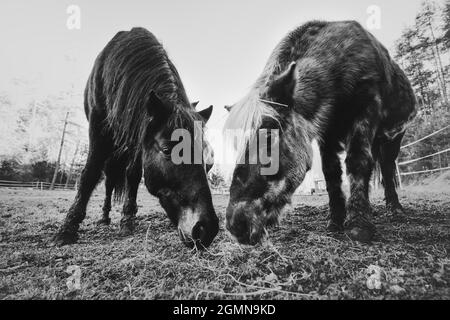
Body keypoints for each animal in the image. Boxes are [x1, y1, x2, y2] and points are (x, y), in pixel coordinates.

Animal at [54, 26, 220, 248]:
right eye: (167, 150)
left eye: (207, 161)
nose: (206, 229)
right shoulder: (98, 127)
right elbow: (90, 174)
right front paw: (67, 229)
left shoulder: (138, 137)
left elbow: (133, 175)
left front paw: (127, 220)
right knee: (108, 181)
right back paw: (104, 217)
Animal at [223, 20, 416, 245]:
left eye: (269, 136)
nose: (236, 225)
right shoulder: (327, 133)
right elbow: (331, 172)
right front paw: (336, 221)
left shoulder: (366, 110)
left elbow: (357, 161)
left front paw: (359, 224)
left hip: (394, 139)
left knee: (387, 168)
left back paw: (395, 209)